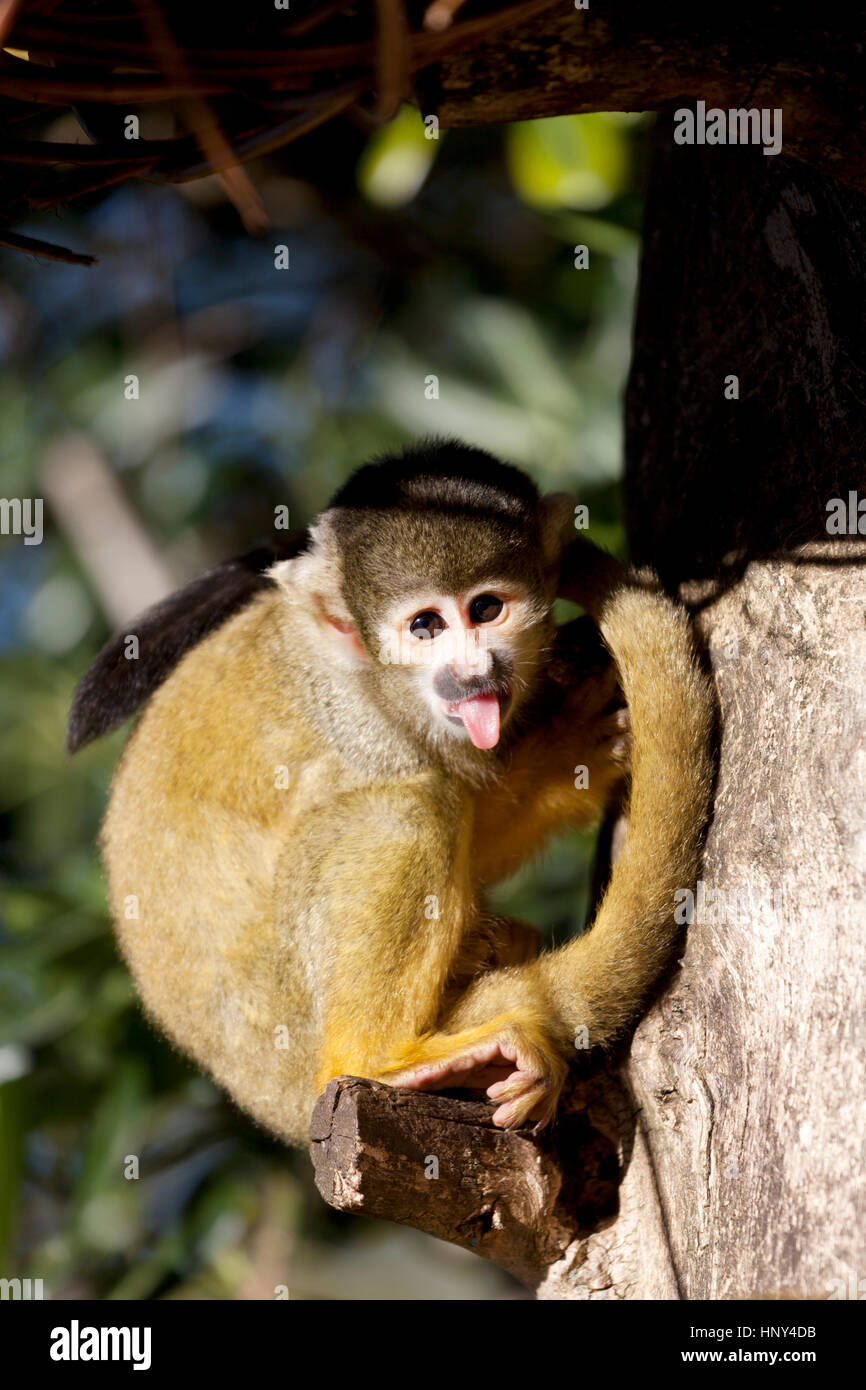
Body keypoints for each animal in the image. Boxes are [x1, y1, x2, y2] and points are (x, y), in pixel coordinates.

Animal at [69, 439, 717, 1145]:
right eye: (426, 626)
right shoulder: (363, 726)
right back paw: (383, 1057)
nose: (473, 671)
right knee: (404, 810)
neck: (379, 680)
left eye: (486, 609)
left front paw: (567, 756)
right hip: (283, 1015)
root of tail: (271, 1100)